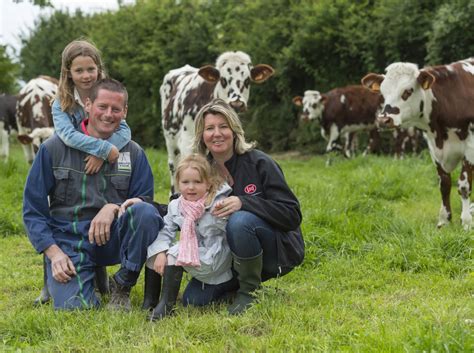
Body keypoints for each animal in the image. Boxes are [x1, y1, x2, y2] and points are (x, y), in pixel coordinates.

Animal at [160, 51, 274, 191]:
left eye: (247, 80)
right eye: (223, 79)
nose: (237, 103)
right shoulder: (186, 143)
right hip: (171, 142)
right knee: (173, 168)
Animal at [362, 57, 474, 228]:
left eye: (407, 91)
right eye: (383, 93)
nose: (383, 120)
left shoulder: (470, 145)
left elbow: (464, 185)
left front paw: (466, 222)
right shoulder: (434, 147)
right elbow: (445, 184)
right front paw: (444, 220)